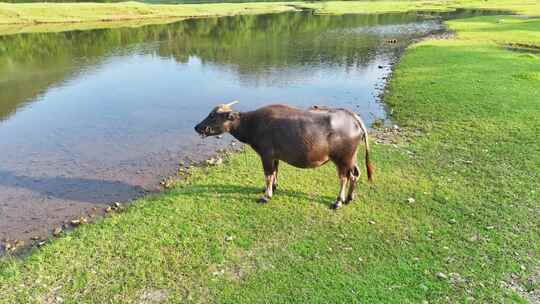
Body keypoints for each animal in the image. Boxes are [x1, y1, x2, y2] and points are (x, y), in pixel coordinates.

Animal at [195, 101, 376, 209]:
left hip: (342, 159)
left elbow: (268, 175)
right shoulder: (275, 157)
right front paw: (273, 188)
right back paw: (350, 197)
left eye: (212, 115)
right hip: (352, 158)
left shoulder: (266, 156)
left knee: (344, 178)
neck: (252, 124)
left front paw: (266, 196)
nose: (197, 127)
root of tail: (354, 118)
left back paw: (338, 201)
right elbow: (275, 173)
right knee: (355, 174)